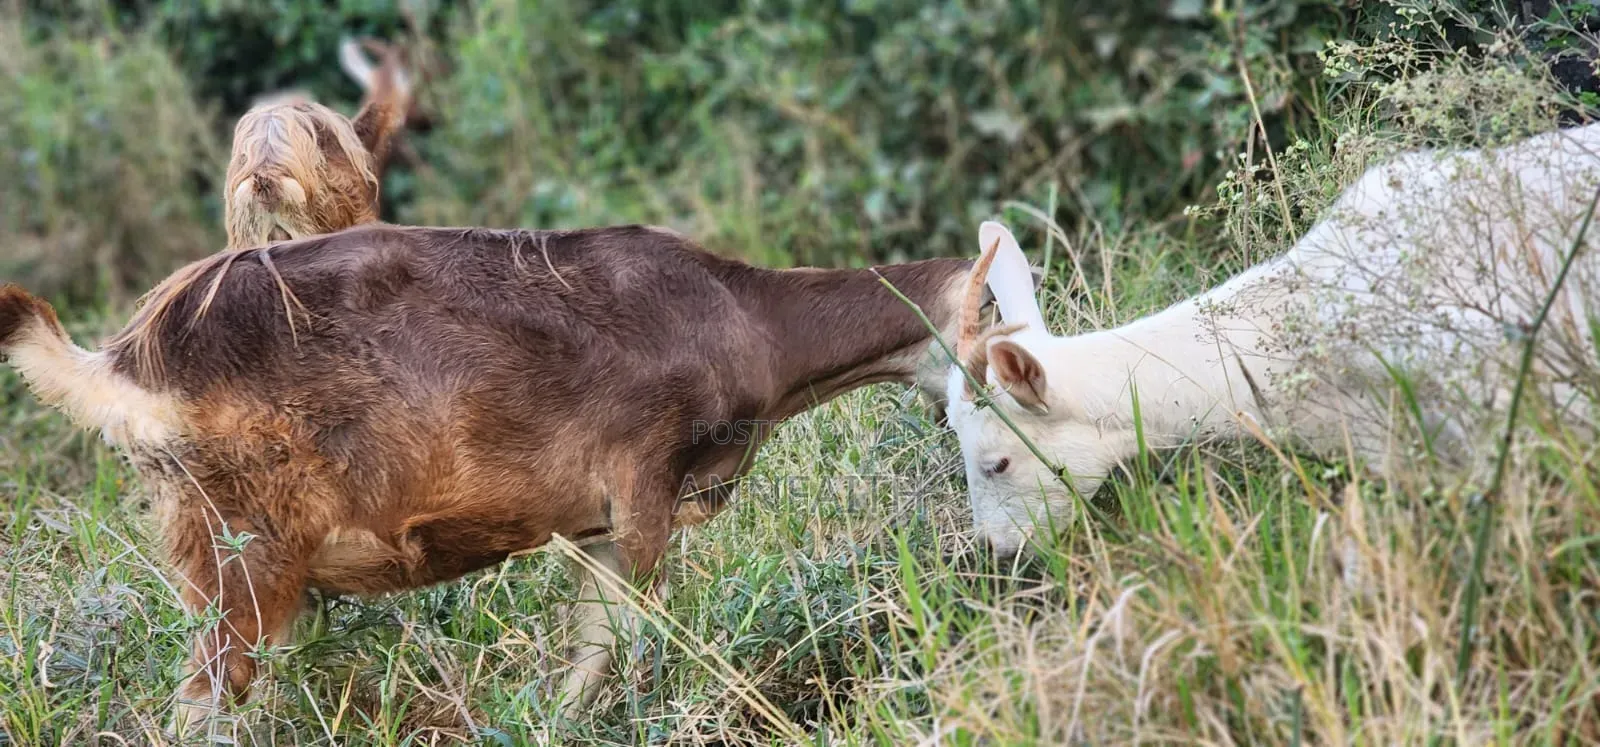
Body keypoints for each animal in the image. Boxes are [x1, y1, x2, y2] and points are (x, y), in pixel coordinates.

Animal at [0, 223, 981, 732]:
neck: (748, 319)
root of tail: (126, 359)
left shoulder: (596, 525)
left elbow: (589, 659)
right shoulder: (646, 483)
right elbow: (641, 645)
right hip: (244, 547)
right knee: (199, 705)